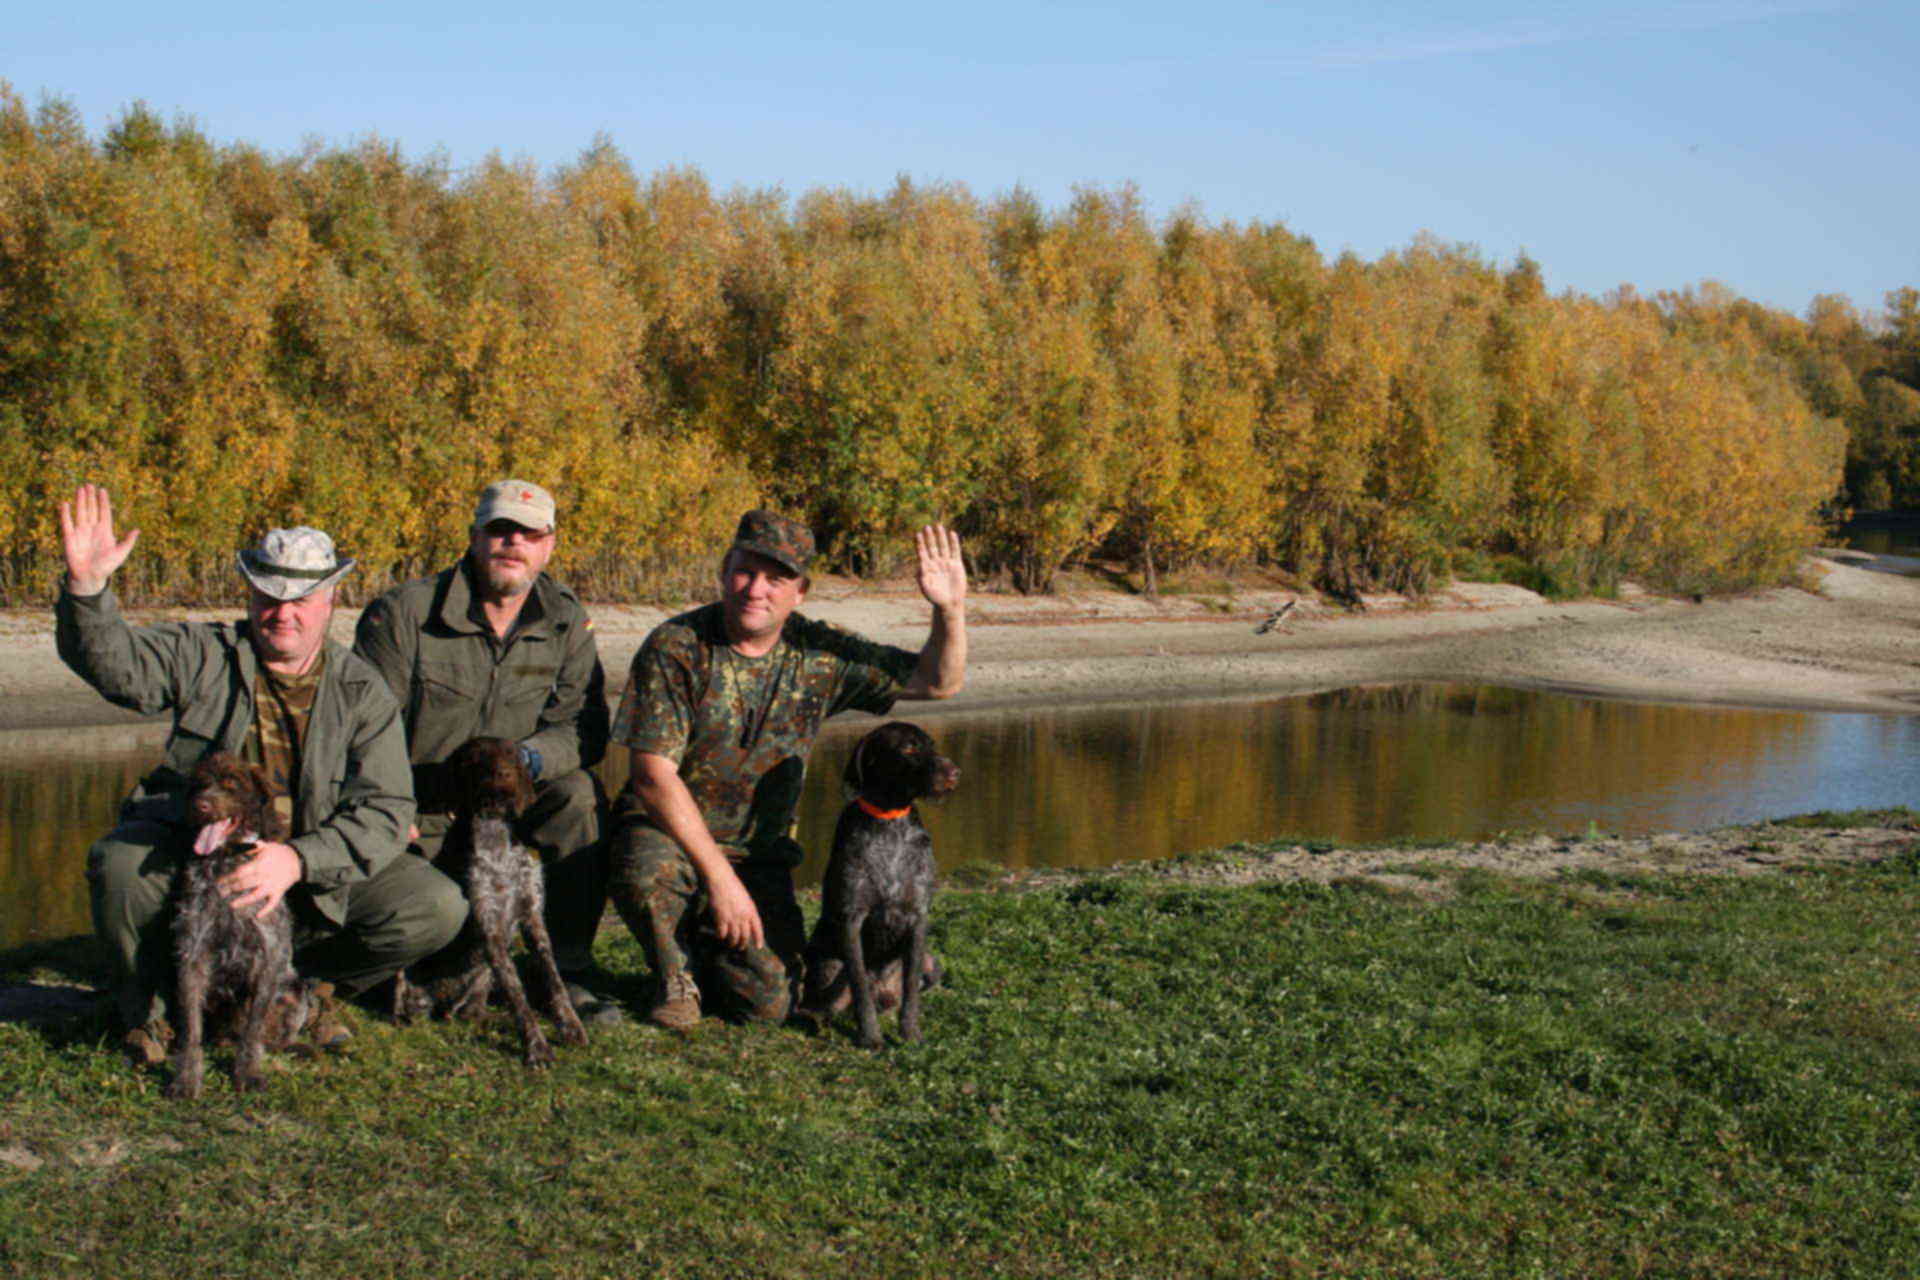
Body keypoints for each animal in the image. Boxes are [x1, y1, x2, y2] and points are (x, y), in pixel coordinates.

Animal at [166, 752, 318, 1105]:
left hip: (294, 991)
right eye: (200, 783)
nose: (201, 805)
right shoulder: (192, 954)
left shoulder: (267, 957)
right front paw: (187, 1078)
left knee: (271, 1037)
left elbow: (253, 1029)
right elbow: (191, 1029)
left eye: (231, 785)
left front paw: (248, 1073)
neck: (226, 860)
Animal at [395, 736, 583, 1066]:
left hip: (480, 980)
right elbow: (516, 993)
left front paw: (570, 1025)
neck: (496, 837)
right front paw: (537, 1046)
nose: (503, 774)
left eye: (512, 754)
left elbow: (553, 979)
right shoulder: (490, 925)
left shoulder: (532, 916)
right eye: (474, 759)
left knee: (470, 1012)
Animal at [798, 725, 956, 1043]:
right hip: (829, 967)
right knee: (822, 1004)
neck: (890, 822)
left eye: (931, 745)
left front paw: (911, 1033)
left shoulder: (918, 917)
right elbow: (860, 988)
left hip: (931, 962)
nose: (953, 773)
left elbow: (910, 988)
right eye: (908, 747)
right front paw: (870, 1038)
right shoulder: (852, 919)